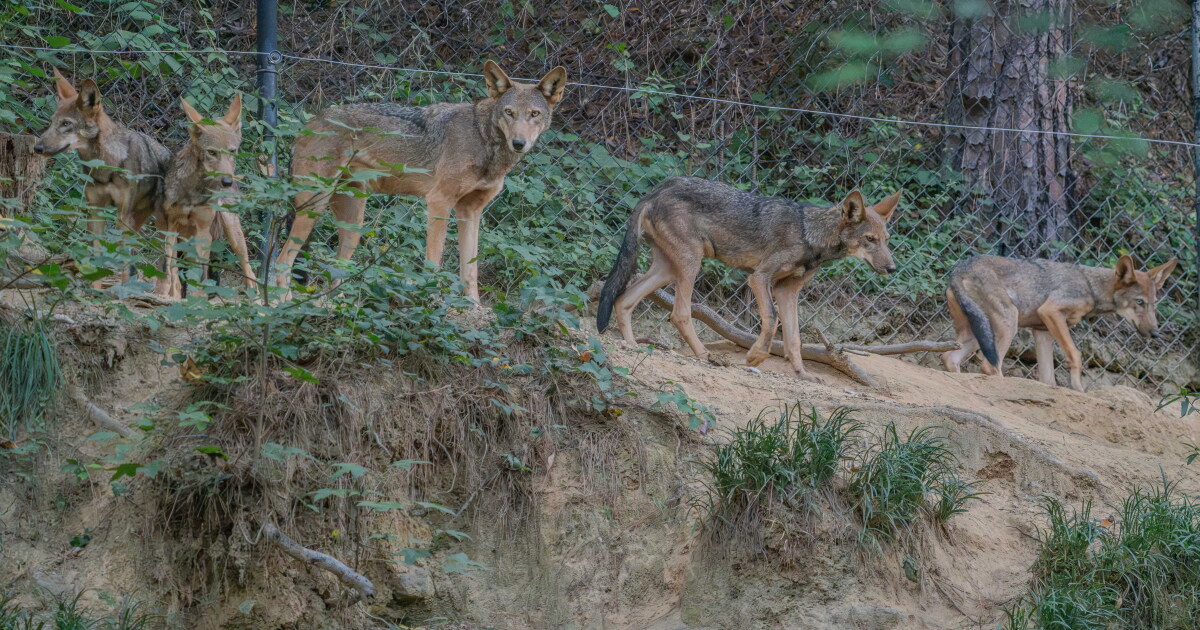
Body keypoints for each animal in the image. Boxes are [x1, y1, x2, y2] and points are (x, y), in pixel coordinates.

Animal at [34, 69, 171, 287]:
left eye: (66, 124)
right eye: (52, 122)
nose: (37, 148)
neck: (106, 165)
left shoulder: (122, 215)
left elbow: (122, 259)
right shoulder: (96, 210)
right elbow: (96, 255)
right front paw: (95, 289)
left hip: (162, 228)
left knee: (168, 266)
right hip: (138, 221)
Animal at [156, 95, 257, 299]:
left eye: (232, 151)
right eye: (211, 152)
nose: (227, 182)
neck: (193, 192)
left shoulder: (203, 231)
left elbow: (198, 274)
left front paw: (197, 299)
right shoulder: (170, 227)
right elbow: (172, 270)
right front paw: (172, 295)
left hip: (232, 232)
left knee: (250, 271)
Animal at [273, 60, 568, 301]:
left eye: (534, 114)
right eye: (509, 112)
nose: (518, 143)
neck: (484, 140)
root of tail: (308, 123)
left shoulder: (470, 212)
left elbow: (470, 271)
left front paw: (473, 310)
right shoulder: (439, 203)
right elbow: (433, 262)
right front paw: (430, 302)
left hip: (353, 225)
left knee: (335, 272)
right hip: (314, 206)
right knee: (282, 260)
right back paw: (280, 306)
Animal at [596, 176, 902, 381]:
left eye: (887, 240)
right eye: (870, 240)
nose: (892, 268)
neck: (810, 234)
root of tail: (656, 190)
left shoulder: (787, 290)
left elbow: (794, 339)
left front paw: (802, 373)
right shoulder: (760, 278)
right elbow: (772, 319)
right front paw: (755, 356)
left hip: (668, 269)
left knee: (624, 300)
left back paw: (632, 346)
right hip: (690, 265)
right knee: (679, 314)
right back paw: (705, 356)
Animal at [941, 254, 1178, 391]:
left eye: (1153, 304)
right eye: (1139, 302)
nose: (1155, 333)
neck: (1090, 286)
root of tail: (957, 270)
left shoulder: (1042, 330)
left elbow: (1048, 379)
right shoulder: (1051, 312)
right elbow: (1075, 355)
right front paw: (1078, 388)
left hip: (980, 333)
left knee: (949, 357)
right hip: (1008, 323)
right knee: (989, 365)